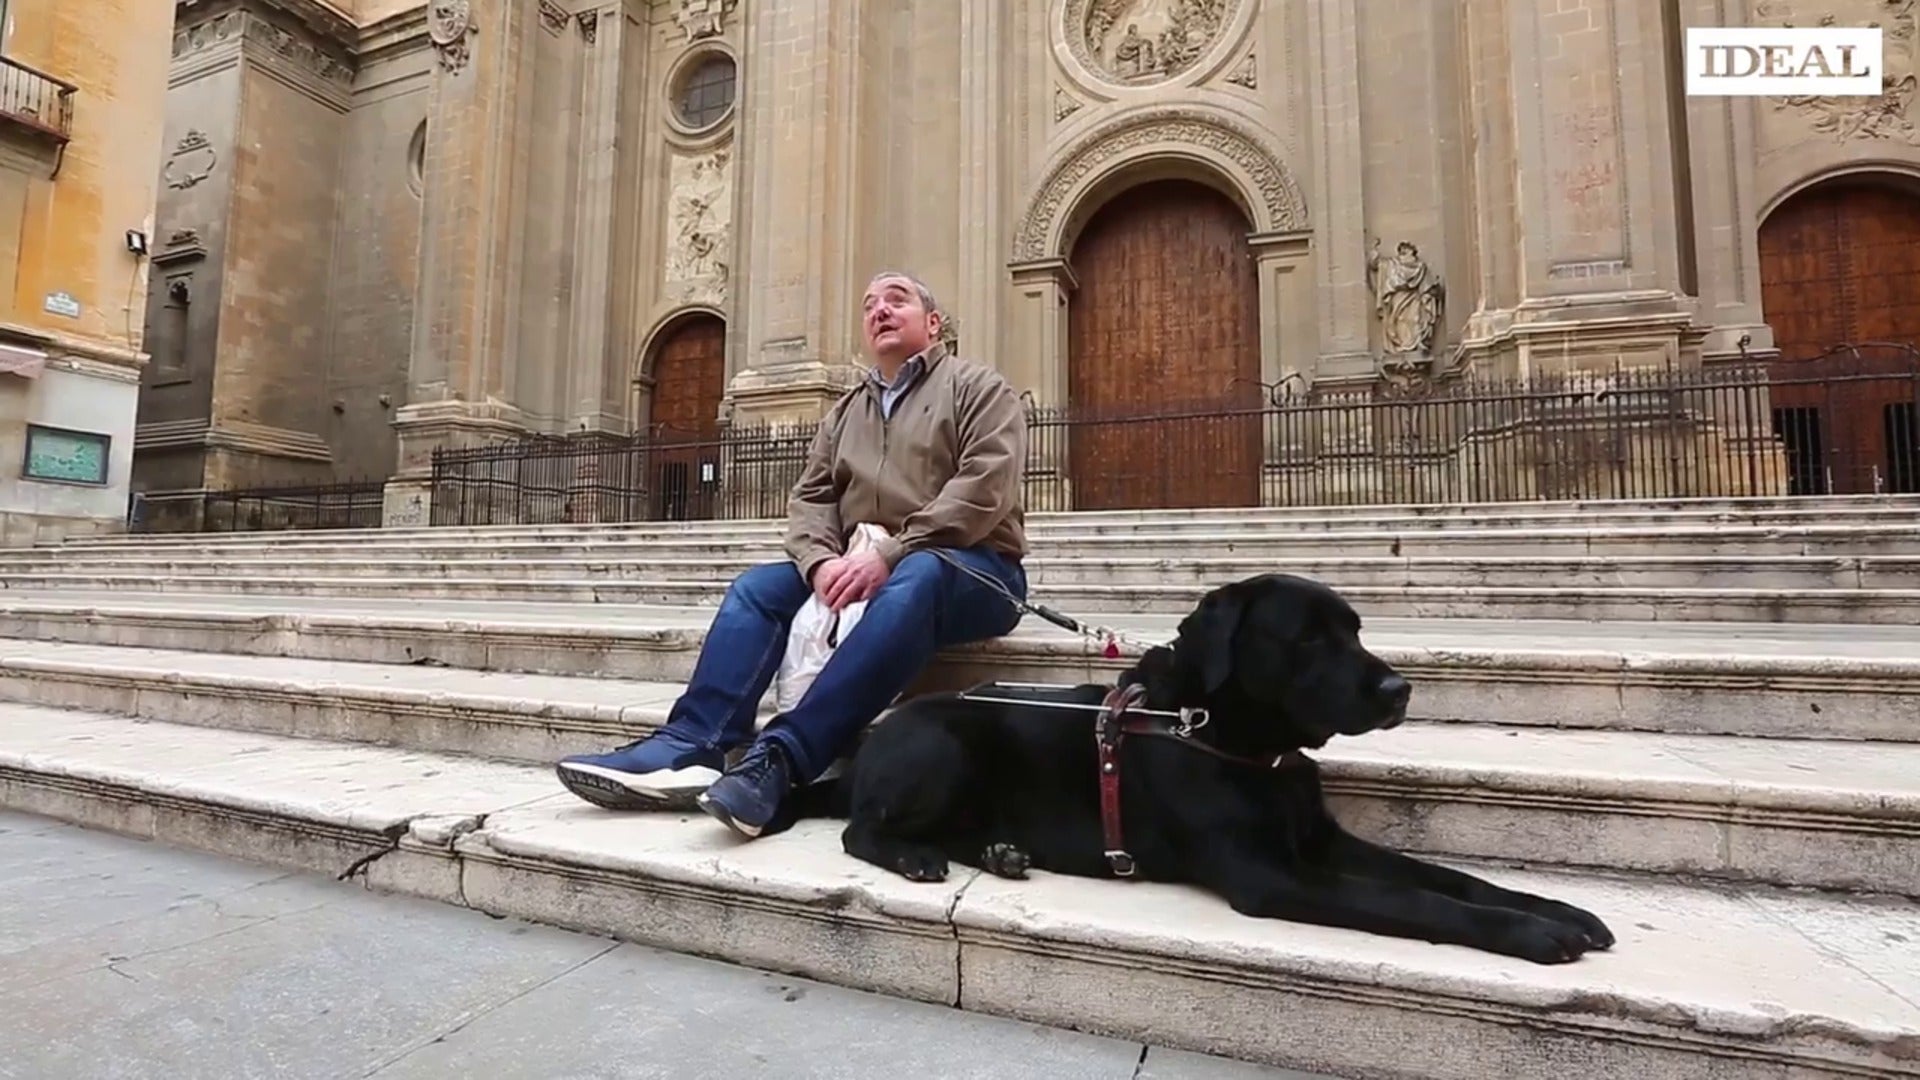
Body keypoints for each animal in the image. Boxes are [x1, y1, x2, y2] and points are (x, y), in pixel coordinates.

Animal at [788, 572, 1615, 965]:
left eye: (1354, 628)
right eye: (1307, 638)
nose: (1399, 690)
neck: (1241, 740)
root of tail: (875, 736)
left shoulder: (1324, 842)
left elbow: (1447, 877)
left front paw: (1559, 909)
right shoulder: (1273, 875)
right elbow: (1414, 901)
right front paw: (1530, 933)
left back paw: (1002, 852)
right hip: (943, 749)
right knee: (859, 829)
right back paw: (916, 858)